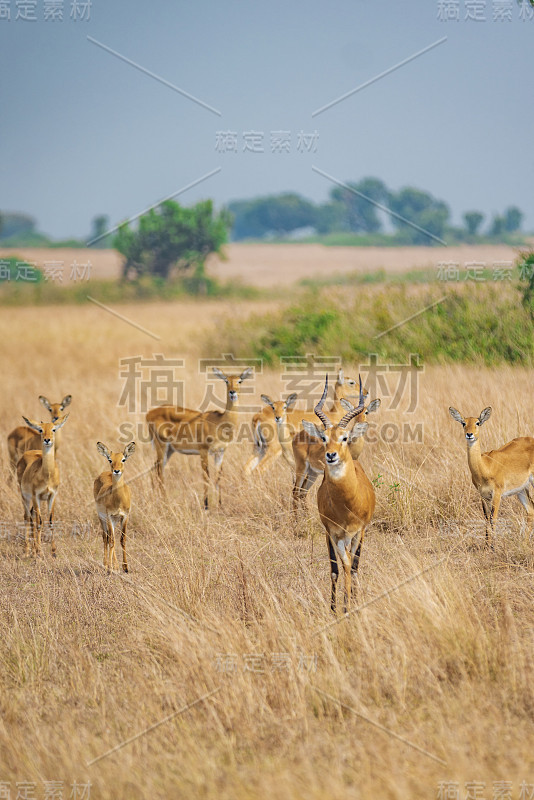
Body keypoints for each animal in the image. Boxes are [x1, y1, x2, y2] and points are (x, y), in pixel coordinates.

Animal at [16, 412, 70, 556]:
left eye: (53, 429)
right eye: (40, 430)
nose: (47, 440)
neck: (47, 475)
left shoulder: (52, 495)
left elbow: (50, 521)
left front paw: (53, 552)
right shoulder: (36, 496)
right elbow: (39, 522)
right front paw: (39, 552)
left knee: (32, 516)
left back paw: (34, 548)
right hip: (25, 496)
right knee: (27, 517)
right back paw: (28, 550)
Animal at [94, 440, 136, 572]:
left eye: (123, 459)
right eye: (110, 459)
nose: (116, 471)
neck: (118, 500)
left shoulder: (125, 516)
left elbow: (122, 539)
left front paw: (125, 567)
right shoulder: (109, 516)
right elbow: (112, 540)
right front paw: (110, 567)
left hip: (115, 520)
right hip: (102, 518)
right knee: (106, 538)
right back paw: (106, 564)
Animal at [147, 368, 255, 510]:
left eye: (239, 380)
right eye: (226, 381)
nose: (232, 392)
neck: (220, 422)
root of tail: (149, 413)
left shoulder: (220, 452)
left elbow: (218, 477)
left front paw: (220, 505)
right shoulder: (203, 450)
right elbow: (206, 476)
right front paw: (206, 505)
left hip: (169, 450)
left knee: (155, 470)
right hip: (162, 446)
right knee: (159, 472)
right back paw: (165, 502)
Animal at [302, 378, 376, 616]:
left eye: (344, 437)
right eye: (324, 437)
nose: (331, 455)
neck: (346, 505)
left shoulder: (358, 531)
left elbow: (352, 566)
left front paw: (350, 604)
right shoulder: (333, 533)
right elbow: (337, 567)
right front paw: (336, 608)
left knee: (353, 566)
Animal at [450, 410, 534, 548]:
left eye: (477, 423)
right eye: (463, 423)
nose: (469, 434)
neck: (485, 467)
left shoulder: (497, 494)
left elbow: (492, 518)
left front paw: (493, 547)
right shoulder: (483, 496)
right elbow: (486, 519)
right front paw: (486, 547)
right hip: (521, 489)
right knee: (531, 510)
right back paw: (524, 543)